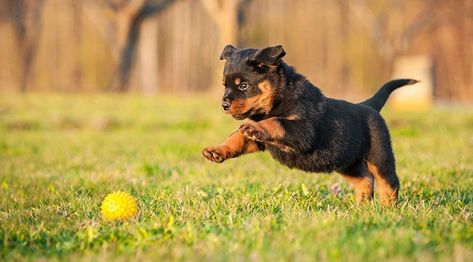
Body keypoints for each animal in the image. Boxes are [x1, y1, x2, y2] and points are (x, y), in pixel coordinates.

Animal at [201, 44, 414, 206]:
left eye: (243, 85)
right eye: (225, 86)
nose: (224, 104)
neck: (279, 98)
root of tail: (369, 105)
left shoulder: (303, 130)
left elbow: (276, 121)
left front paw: (257, 126)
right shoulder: (259, 141)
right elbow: (237, 137)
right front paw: (217, 151)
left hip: (380, 156)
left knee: (389, 183)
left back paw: (387, 209)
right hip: (347, 162)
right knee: (365, 180)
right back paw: (362, 207)